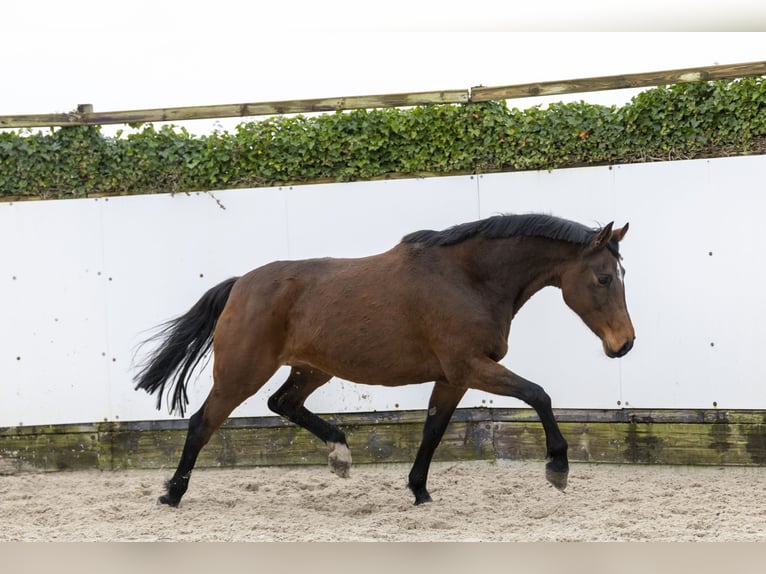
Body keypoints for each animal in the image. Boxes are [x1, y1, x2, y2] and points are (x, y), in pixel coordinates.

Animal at [134, 213, 635, 507]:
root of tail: (240, 285)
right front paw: (558, 468)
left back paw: (340, 454)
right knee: (203, 422)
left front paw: (419, 490)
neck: (468, 278)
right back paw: (172, 494)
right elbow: (539, 394)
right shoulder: (470, 366)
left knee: (283, 403)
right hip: (242, 373)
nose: (625, 344)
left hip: (312, 368)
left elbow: (433, 429)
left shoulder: (454, 378)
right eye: (604, 278)